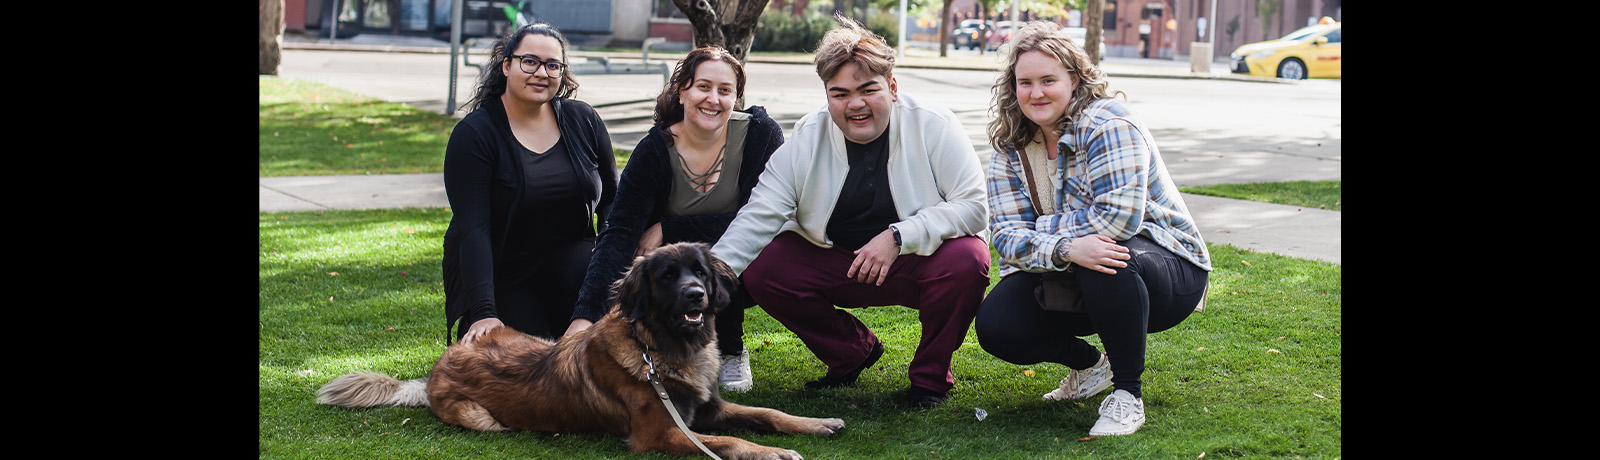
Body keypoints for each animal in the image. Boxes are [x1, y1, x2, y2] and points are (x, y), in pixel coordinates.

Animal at [318, 242, 844, 456]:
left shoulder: (708, 408)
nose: (696, 295)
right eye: (667, 276)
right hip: (483, 419)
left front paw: (816, 423)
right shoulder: (663, 434)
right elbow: (731, 441)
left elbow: (767, 413)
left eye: (699, 271)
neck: (663, 349)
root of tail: (437, 368)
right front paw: (772, 454)